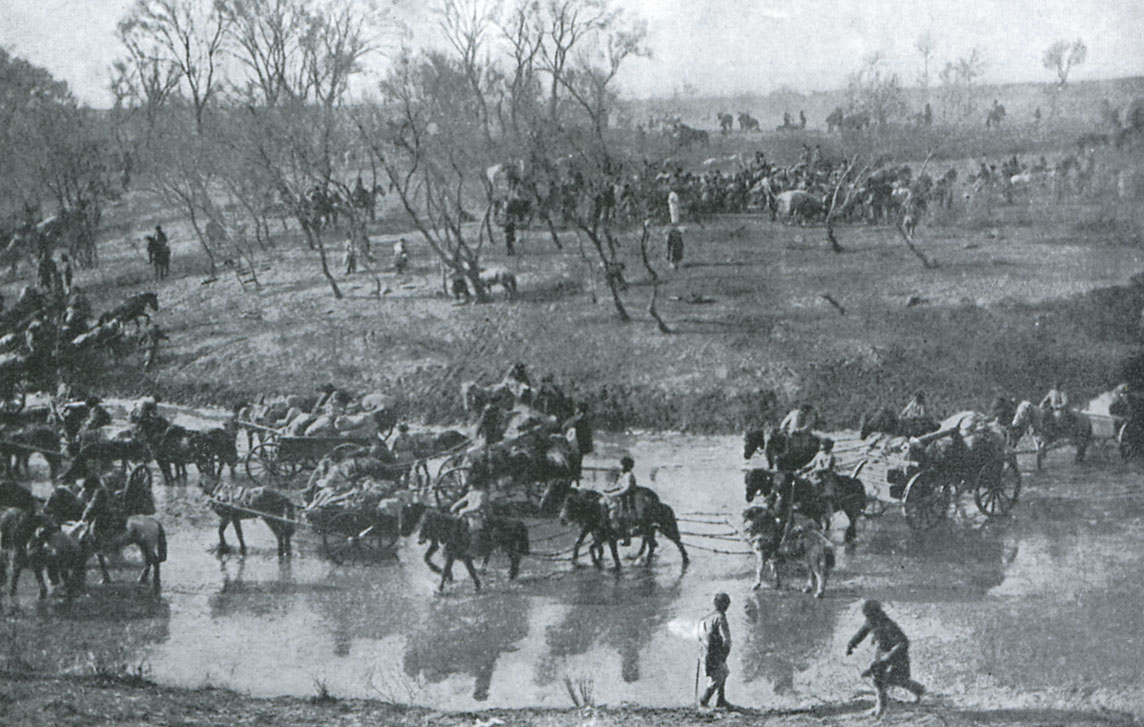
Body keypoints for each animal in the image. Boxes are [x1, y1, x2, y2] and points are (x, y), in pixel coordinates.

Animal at [555, 490, 686, 567]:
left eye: (570, 505)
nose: (561, 519)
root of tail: (663, 505)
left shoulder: (609, 538)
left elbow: (612, 553)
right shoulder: (598, 535)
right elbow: (590, 546)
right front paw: (595, 560)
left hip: (666, 529)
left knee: (677, 542)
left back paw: (685, 559)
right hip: (650, 531)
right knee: (652, 545)